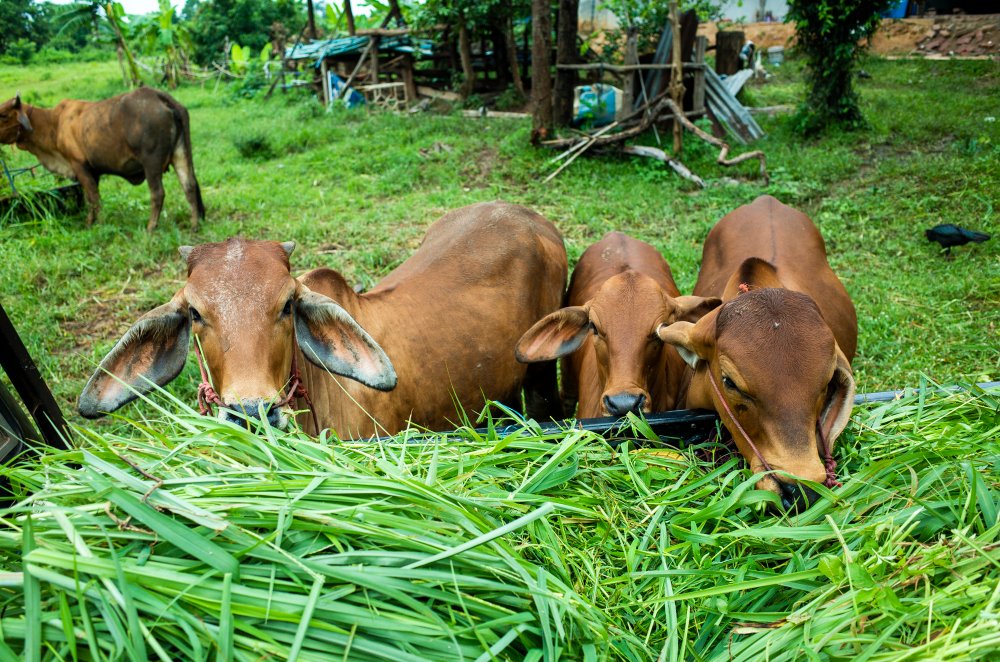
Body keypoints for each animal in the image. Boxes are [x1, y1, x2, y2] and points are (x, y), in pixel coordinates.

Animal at [0, 87, 203, 233]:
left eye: (3, 115)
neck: (53, 124)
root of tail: (159, 96)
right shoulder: (93, 171)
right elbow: (92, 197)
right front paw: (94, 220)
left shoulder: (79, 165)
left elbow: (93, 198)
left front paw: (95, 224)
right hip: (180, 153)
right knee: (190, 185)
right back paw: (194, 225)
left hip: (151, 162)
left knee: (158, 193)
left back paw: (151, 227)